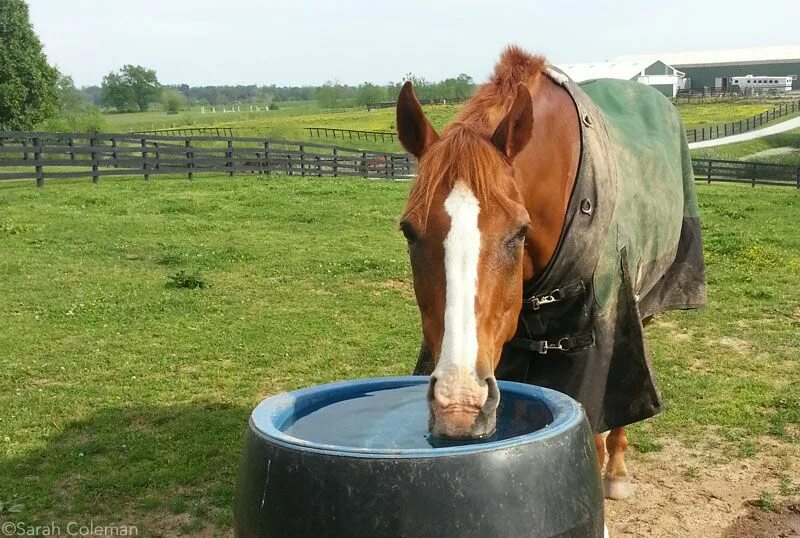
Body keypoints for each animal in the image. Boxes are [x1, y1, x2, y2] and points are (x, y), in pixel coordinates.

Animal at [396, 45, 704, 498]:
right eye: (409, 231)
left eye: (518, 232)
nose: (459, 405)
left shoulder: (595, 350)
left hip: (643, 303)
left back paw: (617, 469)